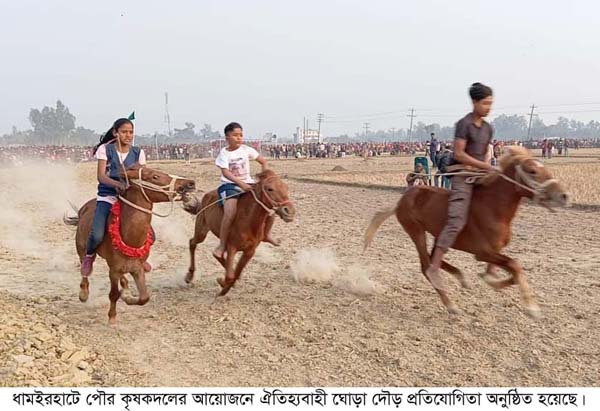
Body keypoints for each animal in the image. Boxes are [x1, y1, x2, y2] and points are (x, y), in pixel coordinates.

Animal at [63, 164, 196, 326]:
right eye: (155, 176)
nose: (190, 183)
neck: (129, 236)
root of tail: (83, 209)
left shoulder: (137, 268)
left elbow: (144, 297)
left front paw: (127, 297)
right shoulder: (113, 271)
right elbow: (113, 294)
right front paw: (112, 317)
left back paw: (125, 288)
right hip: (82, 249)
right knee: (85, 267)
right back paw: (84, 292)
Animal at [366, 146, 568, 320]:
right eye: (532, 171)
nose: (564, 196)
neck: (493, 208)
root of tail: (402, 199)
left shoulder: (493, 252)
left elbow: (500, 273)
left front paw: (492, 282)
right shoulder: (482, 252)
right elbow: (515, 265)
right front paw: (532, 309)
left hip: (437, 235)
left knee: (434, 257)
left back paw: (461, 277)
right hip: (416, 230)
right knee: (426, 266)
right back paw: (451, 305)